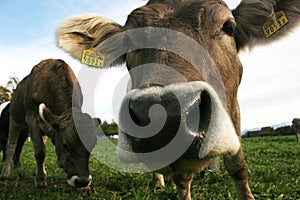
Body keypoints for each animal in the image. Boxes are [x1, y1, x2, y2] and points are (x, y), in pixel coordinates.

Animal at [0, 58, 98, 191]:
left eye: (92, 145)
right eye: (65, 144)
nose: (82, 181)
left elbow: (42, 150)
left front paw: (85, 189)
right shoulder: (32, 118)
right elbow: (39, 152)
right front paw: (41, 181)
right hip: (14, 120)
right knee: (11, 146)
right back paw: (5, 173)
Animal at [55, 0, 300, 199]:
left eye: (228, 27)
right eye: (128, 41)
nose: (164, 112)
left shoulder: (235, 108)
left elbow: (238, 166)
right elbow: (182, 180)